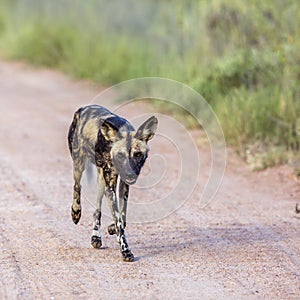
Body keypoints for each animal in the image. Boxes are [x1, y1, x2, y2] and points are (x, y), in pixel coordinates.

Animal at [67, 105, 158, 260]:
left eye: (138, 154)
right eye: (120, 155)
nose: (129, 174)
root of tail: (83, 108)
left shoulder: (123, 185)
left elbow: (123, 217)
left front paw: (111, 229)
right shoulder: (111, 187)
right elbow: (119, 223)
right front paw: (126, 250)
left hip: (101, 180)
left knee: (97, 210)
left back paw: (96, 237)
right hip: (79, 164)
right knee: (77, 186)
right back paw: (76, 213)